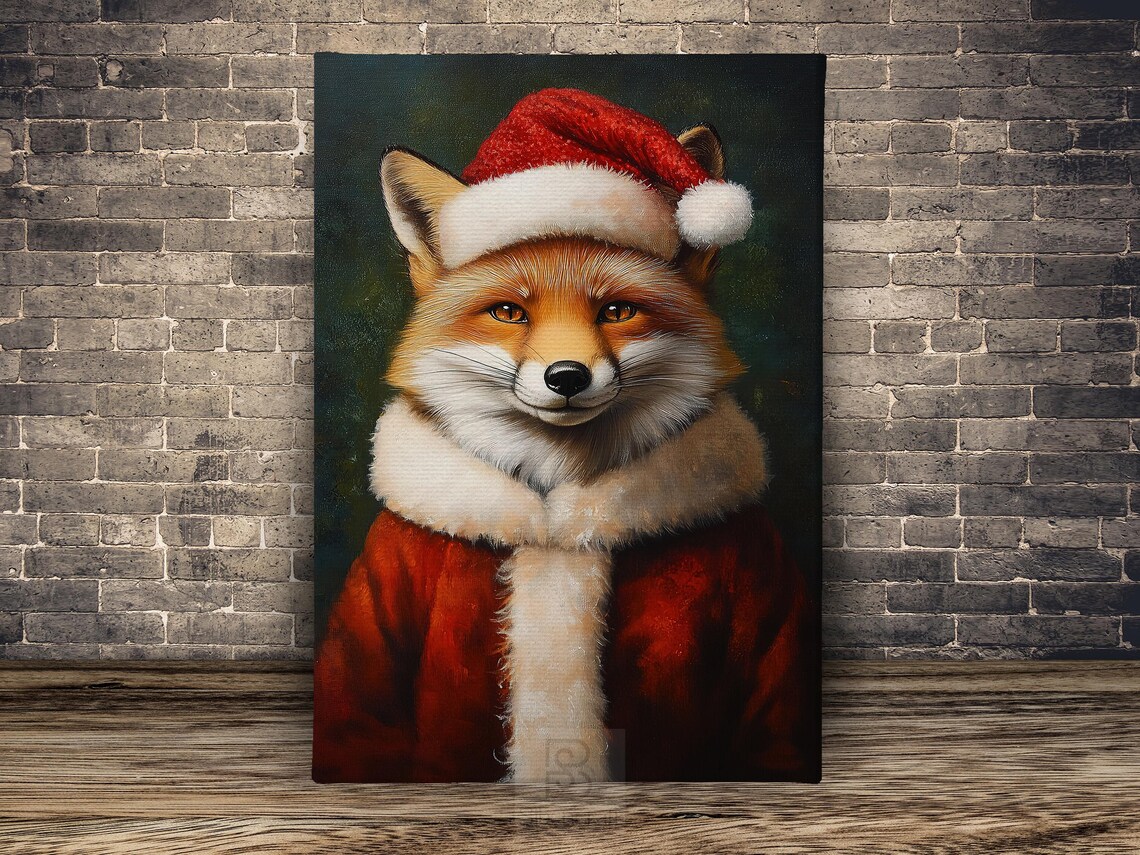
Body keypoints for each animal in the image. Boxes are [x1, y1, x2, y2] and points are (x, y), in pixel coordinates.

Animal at [314, 88, 818, 784]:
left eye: (616, 311)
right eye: (508, 312)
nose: (567, 376)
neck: (555, 526)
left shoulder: (761, 586)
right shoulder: (384, 584)